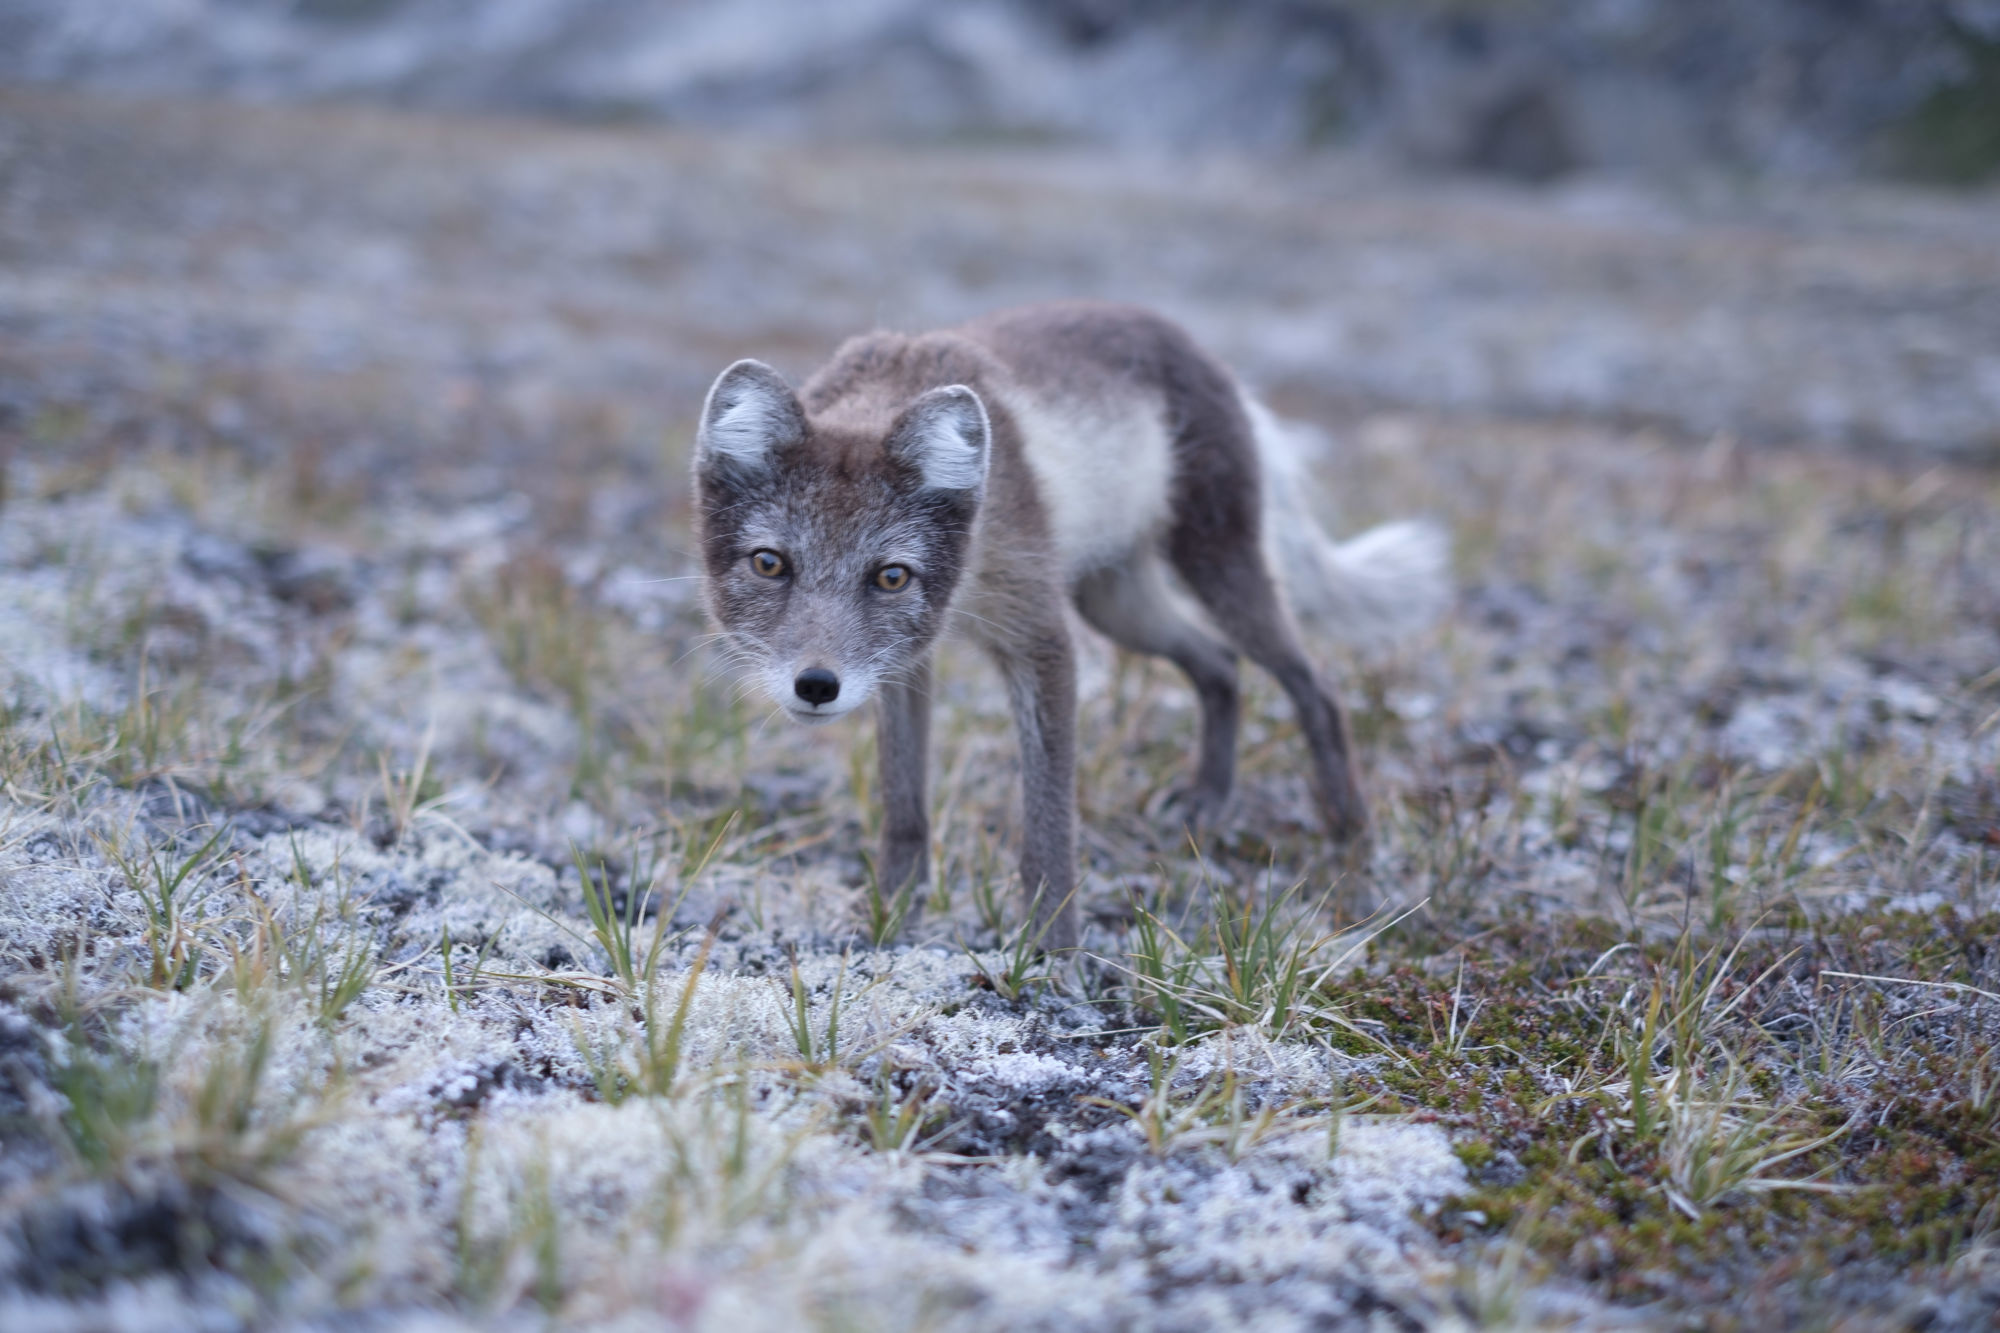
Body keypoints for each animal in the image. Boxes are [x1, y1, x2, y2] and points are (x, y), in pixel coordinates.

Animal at [696, 300, 1448, 944]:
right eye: (770, 563)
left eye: (890, 575)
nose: (817, 686)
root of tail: (1202, 350)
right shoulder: (906, 661)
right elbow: (904, 804)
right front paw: (893, 911)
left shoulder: (1044, 641)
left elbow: (1049, 827)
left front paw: (1052, 952)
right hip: (1117, 603)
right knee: (1218, 665)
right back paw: (1209, 799)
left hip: (1217, 565)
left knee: (1313, 683)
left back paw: (1349, 831)